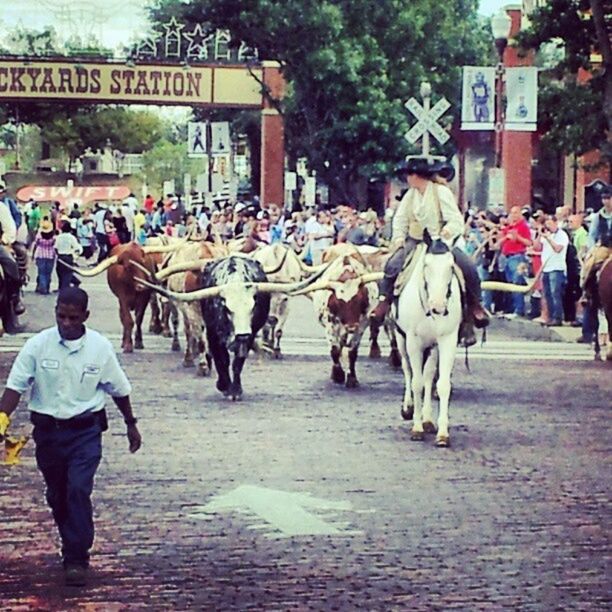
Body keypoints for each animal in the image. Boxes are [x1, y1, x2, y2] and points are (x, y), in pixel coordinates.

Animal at [394, 238, 462, 444]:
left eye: (451, 266)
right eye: (426, 265)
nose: (438, 306)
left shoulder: (447, 340)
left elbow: (441, 384)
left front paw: (442, 433)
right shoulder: (413, 342)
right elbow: (416, 383)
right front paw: (417, 428)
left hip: (432, 347)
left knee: (428, 375)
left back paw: (428, 420)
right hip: (401, 340)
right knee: (407, 370)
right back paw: (408, 408)